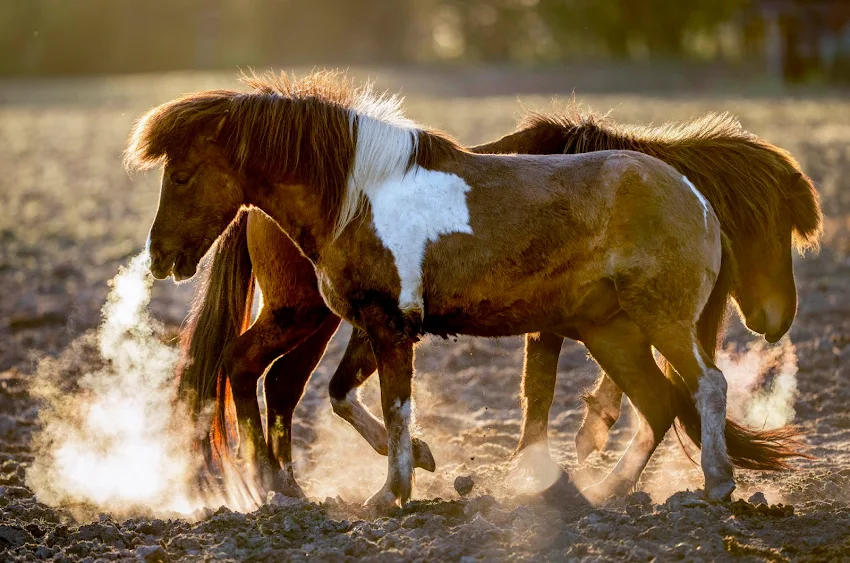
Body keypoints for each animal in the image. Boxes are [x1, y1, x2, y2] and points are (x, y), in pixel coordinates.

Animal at [129, 70, 804, 506]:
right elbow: (369, 400)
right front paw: (409, 477)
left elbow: (398, 406)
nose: (161, 256)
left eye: (182, 176)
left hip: (657, 321)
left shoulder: (389, 324)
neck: (359, 193)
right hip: (611, 332)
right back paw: (605, 491)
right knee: (662, 403)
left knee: (706, 387)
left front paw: (392, 492)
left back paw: (715, 482)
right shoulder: (379, 324)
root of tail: (692, 196)